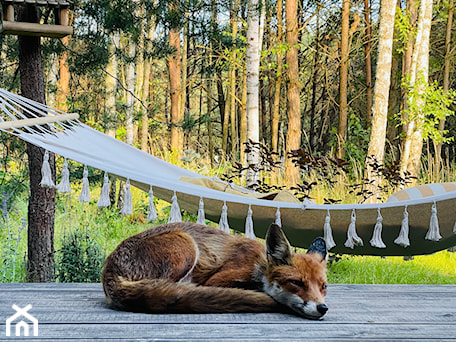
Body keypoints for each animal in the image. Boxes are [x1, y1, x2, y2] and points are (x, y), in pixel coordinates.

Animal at [102, 220, 328, 320]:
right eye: (296, 283)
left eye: (324, 287)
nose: (322, 308)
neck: (260, 265)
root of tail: (109, 269)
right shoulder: (217, 279)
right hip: (186, 247)